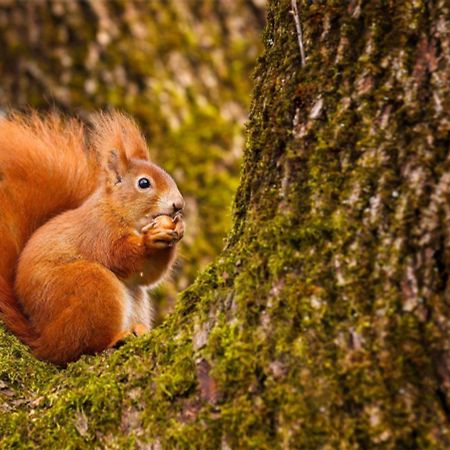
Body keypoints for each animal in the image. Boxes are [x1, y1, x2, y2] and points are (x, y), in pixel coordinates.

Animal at [0, 110, 185, 364]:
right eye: (144, 183)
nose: (179, 205)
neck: (117, 210)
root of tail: (42, 340)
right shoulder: (98, 232)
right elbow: (119, 256)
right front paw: (149, 242)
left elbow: (147, 275)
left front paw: (178, 230)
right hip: (92, 286)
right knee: (81, 346)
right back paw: (117, 338)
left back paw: (138, 329)